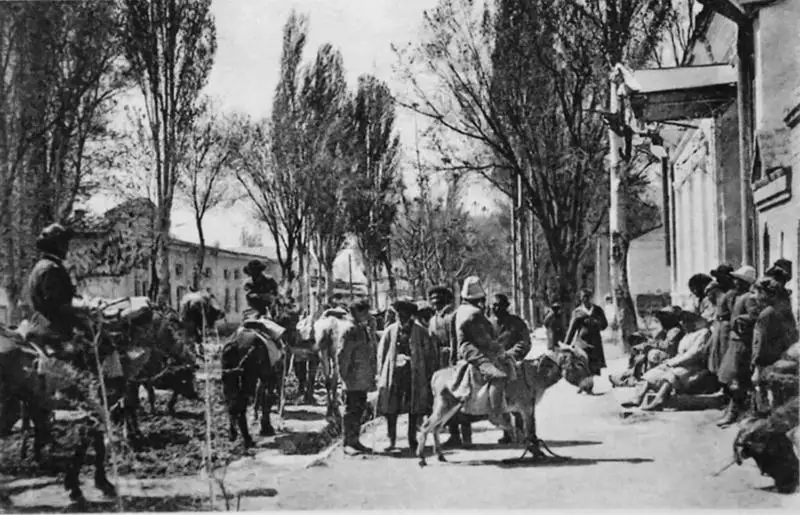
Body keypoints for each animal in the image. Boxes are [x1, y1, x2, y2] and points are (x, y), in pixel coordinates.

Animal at [418, 346, 592, 468]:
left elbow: (531, 432)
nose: (590, 386)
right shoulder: (525, 409)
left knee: (435, 427)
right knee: (426, 426)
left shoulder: (527, 409)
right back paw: (421, 458)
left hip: (452, 408)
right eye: (579, 364)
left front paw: (536, 451)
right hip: (445, 406)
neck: (533, 376)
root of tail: (437, 374)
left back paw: (440, 455)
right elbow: (527, 432)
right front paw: (536, 452)